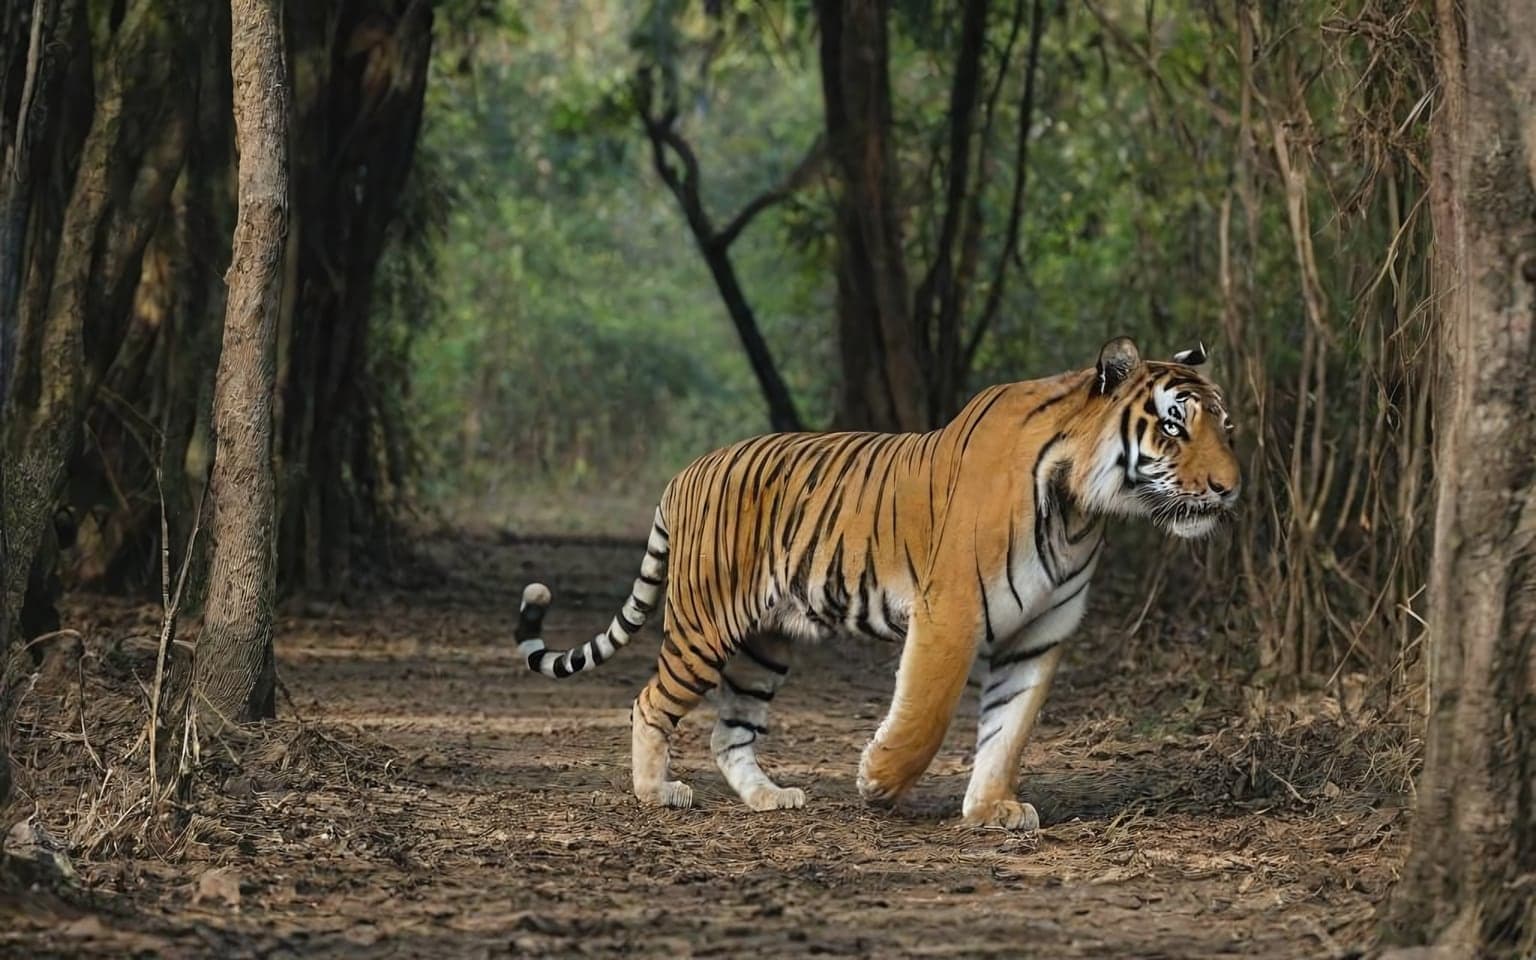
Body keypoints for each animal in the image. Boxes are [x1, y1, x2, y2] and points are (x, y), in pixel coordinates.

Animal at [514, 336, 1240, 830]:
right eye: (1173, 426)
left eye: (1225, 426)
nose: (1231, 488)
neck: (1080, 510)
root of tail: (684, 474)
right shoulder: (951, 610)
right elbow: (928, 711)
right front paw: (878, 783)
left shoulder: (1039, 633)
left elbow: (1010, 729)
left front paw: (992, 808)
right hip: (705, 625)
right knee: (648, 701)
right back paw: (655, 792)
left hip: (764, 644)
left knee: (731, 732)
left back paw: (771, 797)